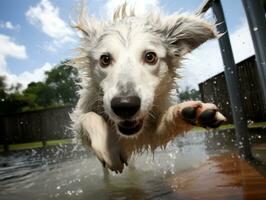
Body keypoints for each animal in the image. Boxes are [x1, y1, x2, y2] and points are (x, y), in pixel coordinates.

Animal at [69, 4, 225, 173]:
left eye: (150, 57)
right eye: (105, 59)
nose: (125, 106)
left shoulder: (149, 134)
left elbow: (167, 123)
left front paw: (190, 113)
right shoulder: (80, 124)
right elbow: (88, 117)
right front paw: (109, 146)